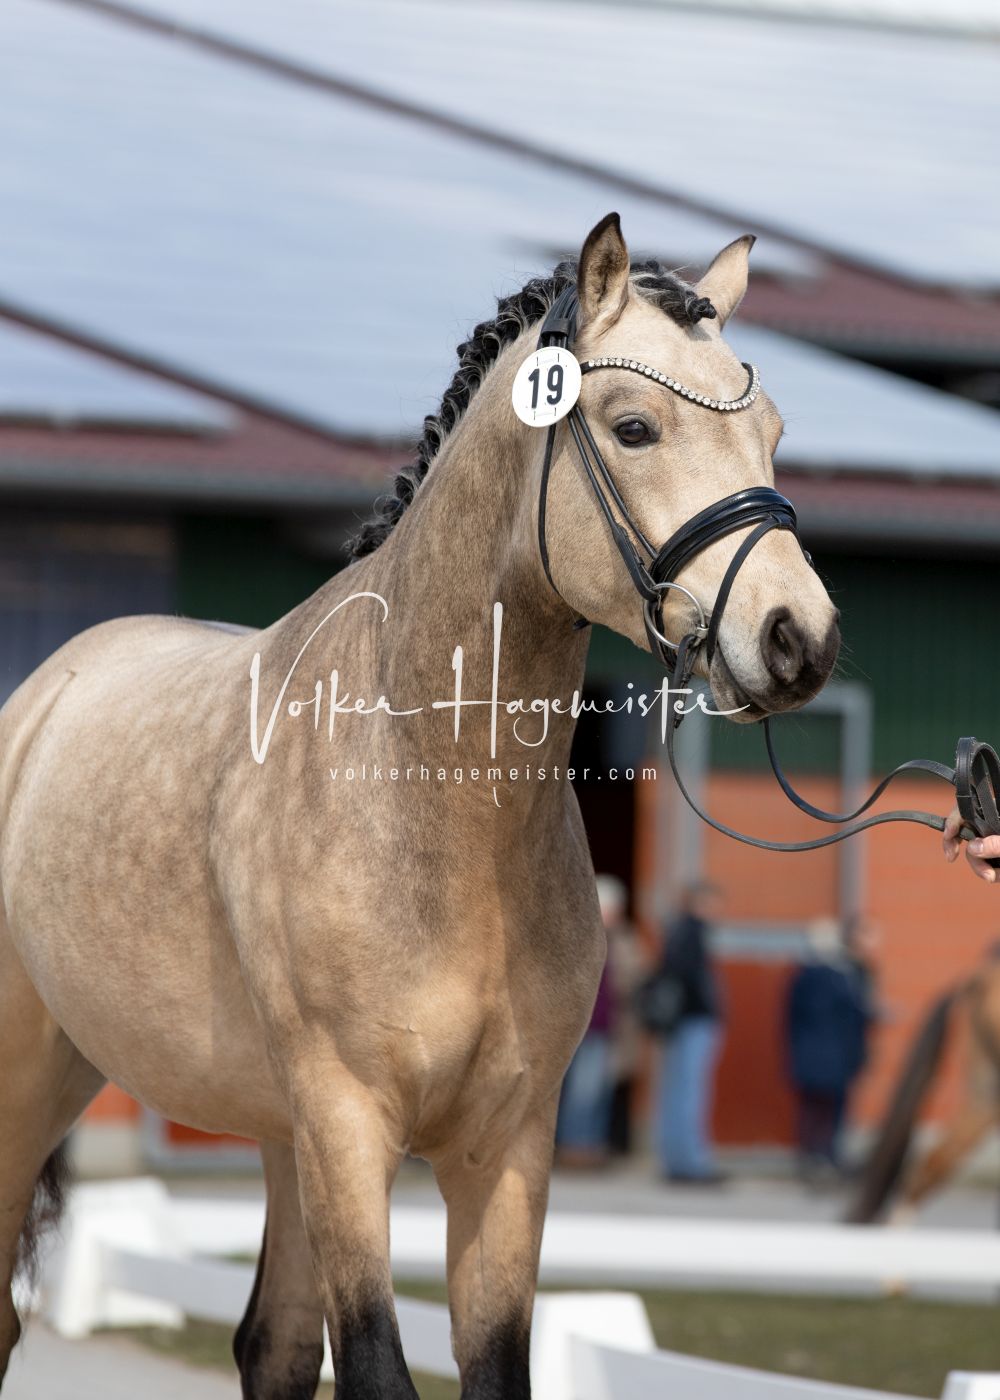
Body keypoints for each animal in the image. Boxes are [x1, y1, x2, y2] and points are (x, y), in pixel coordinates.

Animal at [0, 214, 839, 1398]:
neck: (428, 792)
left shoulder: (504, 1147)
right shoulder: (352, 1125)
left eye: (770, 430)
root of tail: (47, 689)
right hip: (38, 1086)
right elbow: (376, 1367)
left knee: (272, 1342)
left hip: (278, 1134)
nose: (795, 638)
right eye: (634, 427)